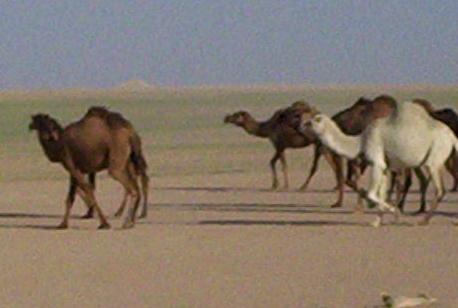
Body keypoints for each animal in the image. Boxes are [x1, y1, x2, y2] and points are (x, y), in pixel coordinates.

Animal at [300, 100, 458, 226]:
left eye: (314, 120)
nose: (302, 125)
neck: (360, 141)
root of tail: (451, 136)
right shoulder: (384, 167)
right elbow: (380, 193)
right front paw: (377, 221)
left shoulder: (376, 162)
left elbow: (372, 193)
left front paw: (395, 212)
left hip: (435, 157)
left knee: (440, 189)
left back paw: (422, 221)